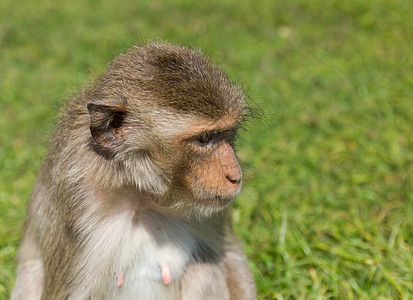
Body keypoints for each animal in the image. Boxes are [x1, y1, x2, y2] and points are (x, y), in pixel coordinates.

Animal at [11, 42, 256, 300]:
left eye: (227, 133)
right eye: (204, 139)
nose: (235, 177)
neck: (140, 192)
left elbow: (230, 254)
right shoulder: (78, 198)